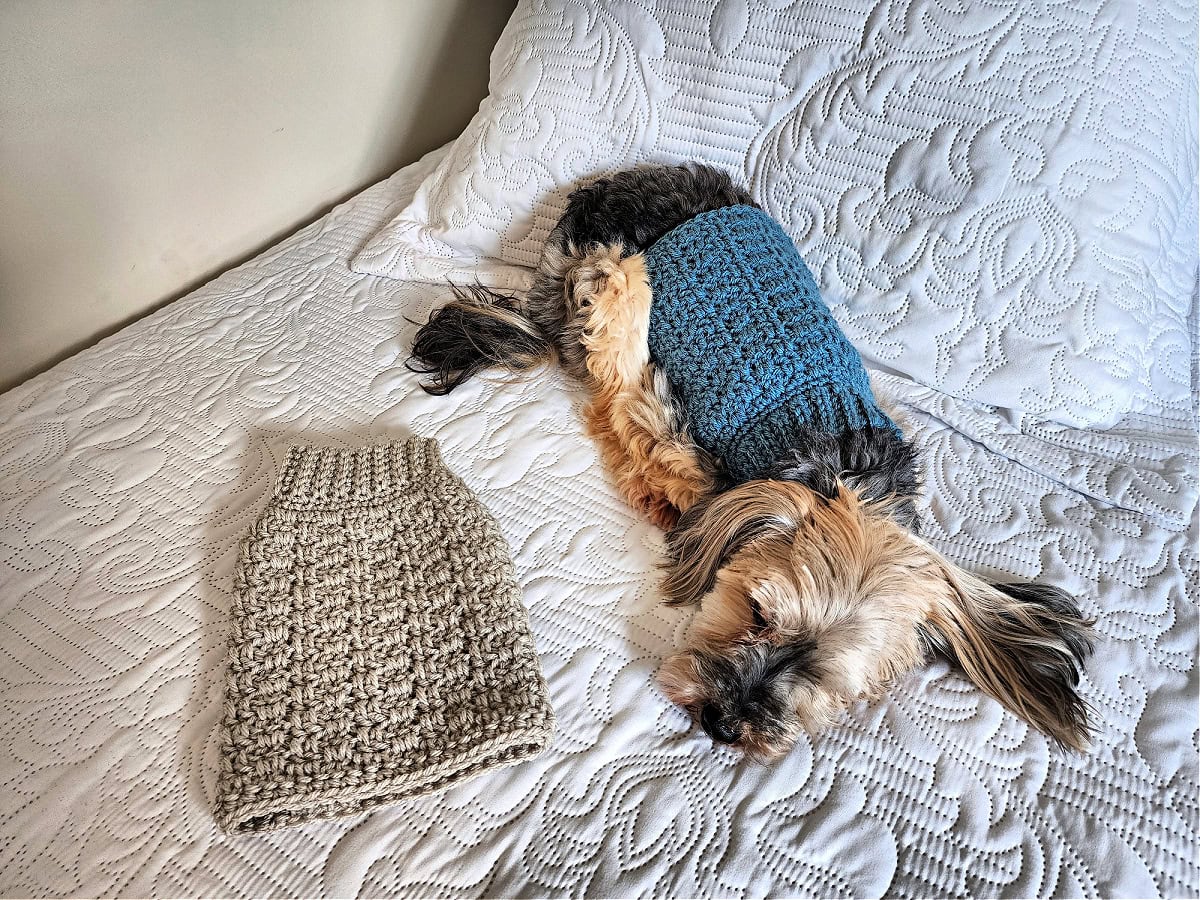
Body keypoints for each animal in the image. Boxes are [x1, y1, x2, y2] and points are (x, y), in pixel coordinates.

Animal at [408, 165, 1094, 758]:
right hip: (606, 269)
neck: (835, 464)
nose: (722, 722)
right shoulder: (665, 421)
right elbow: (630, 416)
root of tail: (614, 182)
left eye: (825, 681)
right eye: (757, 612)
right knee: (611, 329)